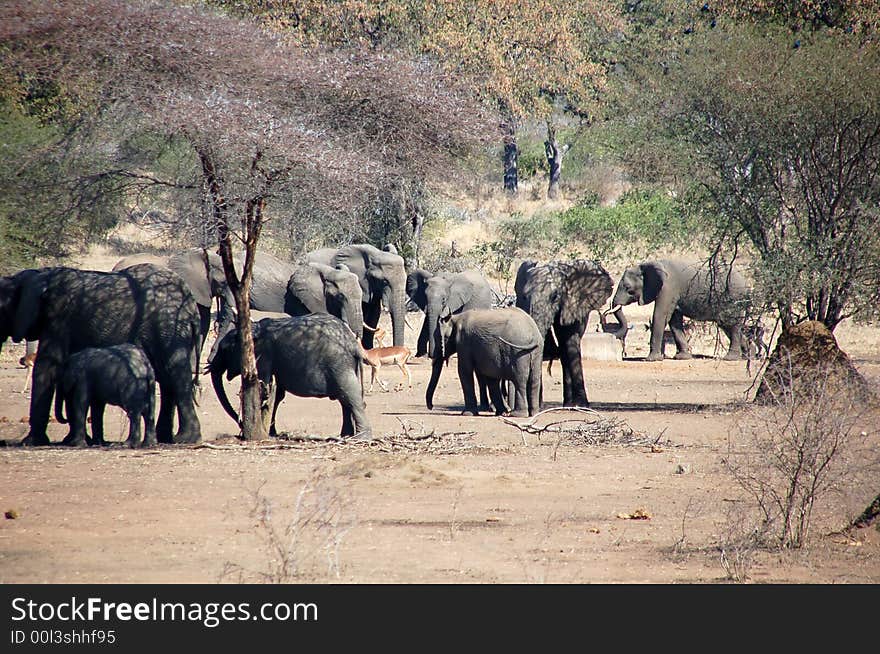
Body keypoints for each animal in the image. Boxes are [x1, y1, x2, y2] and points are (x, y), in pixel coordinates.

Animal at [0, 266, 201, 446]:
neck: (41, 275)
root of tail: (191, 306)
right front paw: (75, 440)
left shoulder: (58, 317)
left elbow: (47, 367)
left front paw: (32, 442)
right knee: (166, 379)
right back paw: (164, 438)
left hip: (168, 326)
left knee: (175, 374)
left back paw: (185, 439)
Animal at [209, 314, 372, 440]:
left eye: (225, 350)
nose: (241, 426)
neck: (253, 330)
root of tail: (354, 344)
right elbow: (276, 394)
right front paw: (272, 434)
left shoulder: (264, 356)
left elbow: (264, 389)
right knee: (345, 399)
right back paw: (346, 436)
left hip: (339, 364)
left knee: (350, 397)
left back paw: (360, 438)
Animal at [516, 260, 624, 404]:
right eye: (523, 296)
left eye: (554, 297)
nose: (539, 405)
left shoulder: (573, 305)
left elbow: (570, 340)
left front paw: (581, 404)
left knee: (565, 347)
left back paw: (569, 403)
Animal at [612, 260, 748, 364]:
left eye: (628, 288)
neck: (647, 265)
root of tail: (746, 284)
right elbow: (674, 321)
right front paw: (682, 357)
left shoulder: (668, 288)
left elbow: (660, 316)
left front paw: (651, 360)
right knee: (728, 326)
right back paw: (748, 356)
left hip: (733, 299)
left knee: (732, 326)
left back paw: (731, 358)